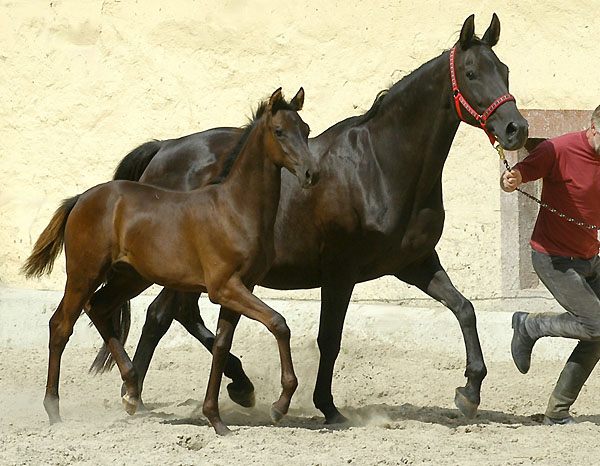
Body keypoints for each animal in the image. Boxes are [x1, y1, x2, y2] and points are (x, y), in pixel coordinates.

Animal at [22, 87, 318, 434]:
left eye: (306, 129)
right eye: (279, 131)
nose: (312, 174)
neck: (235, 208)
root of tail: (81, 197)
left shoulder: (242, 288)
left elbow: (221, 344)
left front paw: (216, 418)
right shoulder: (224, 287)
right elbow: (278, 323)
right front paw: (279, 406)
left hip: (131, 277)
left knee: (99, 308)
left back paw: (132, 392)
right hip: (85, 273)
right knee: (61, 325)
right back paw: (54, 410)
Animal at [96, 13, 528, 422]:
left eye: (506, 69)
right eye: (471, 73)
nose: (516, 129)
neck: (379, 165)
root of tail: (164, 149)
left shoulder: (414, 263)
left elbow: (464, 309)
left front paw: (469, 392)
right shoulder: (340, 271)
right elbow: (329, 339)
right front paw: (328, 407)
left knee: (173, 315)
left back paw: (218, 387)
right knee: (160, 316)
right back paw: (144, 393)